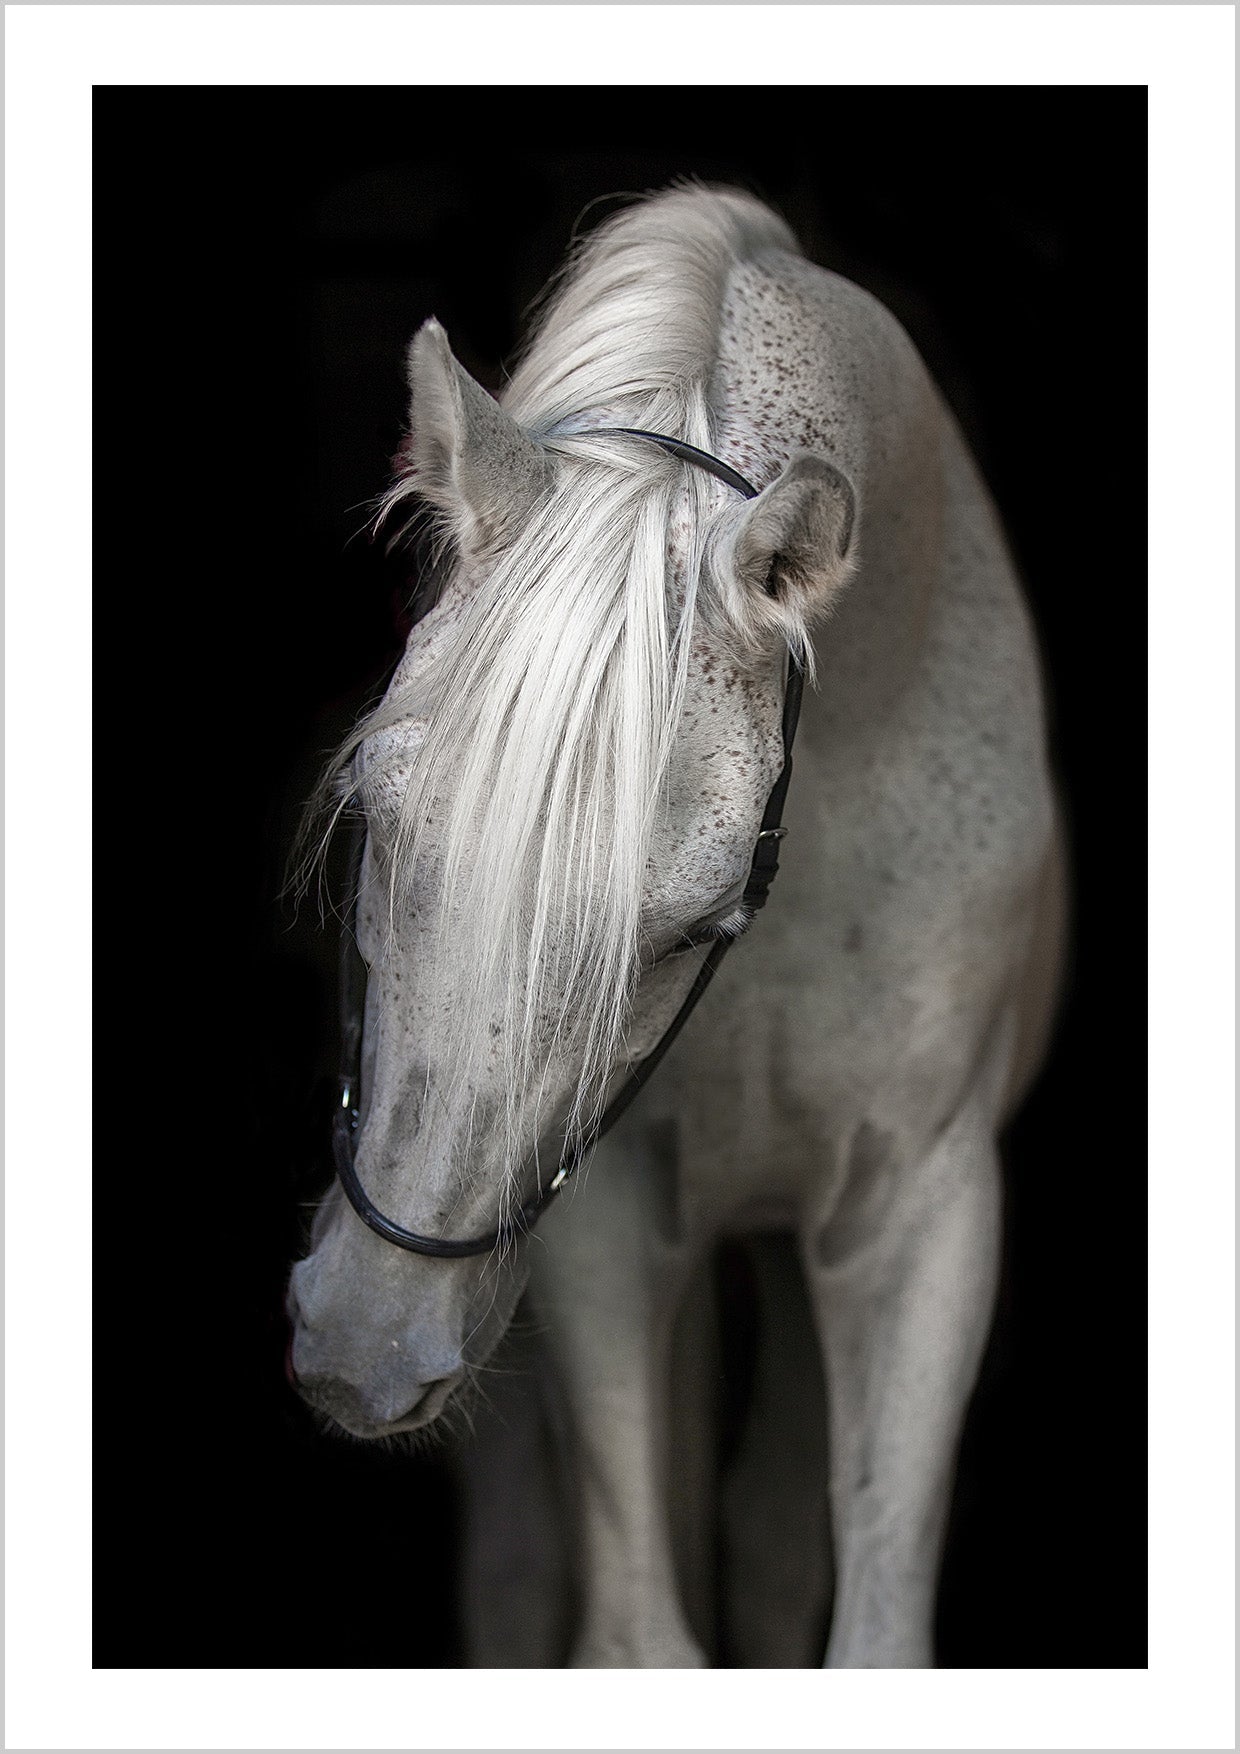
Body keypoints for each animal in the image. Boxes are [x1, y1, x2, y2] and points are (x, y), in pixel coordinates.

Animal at [285, 185, 1059, 1662]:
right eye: (372, 817)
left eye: (696, 924)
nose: (367, 1341)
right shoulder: (605, 1213)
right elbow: (639, 1625)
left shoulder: (922, 1210)